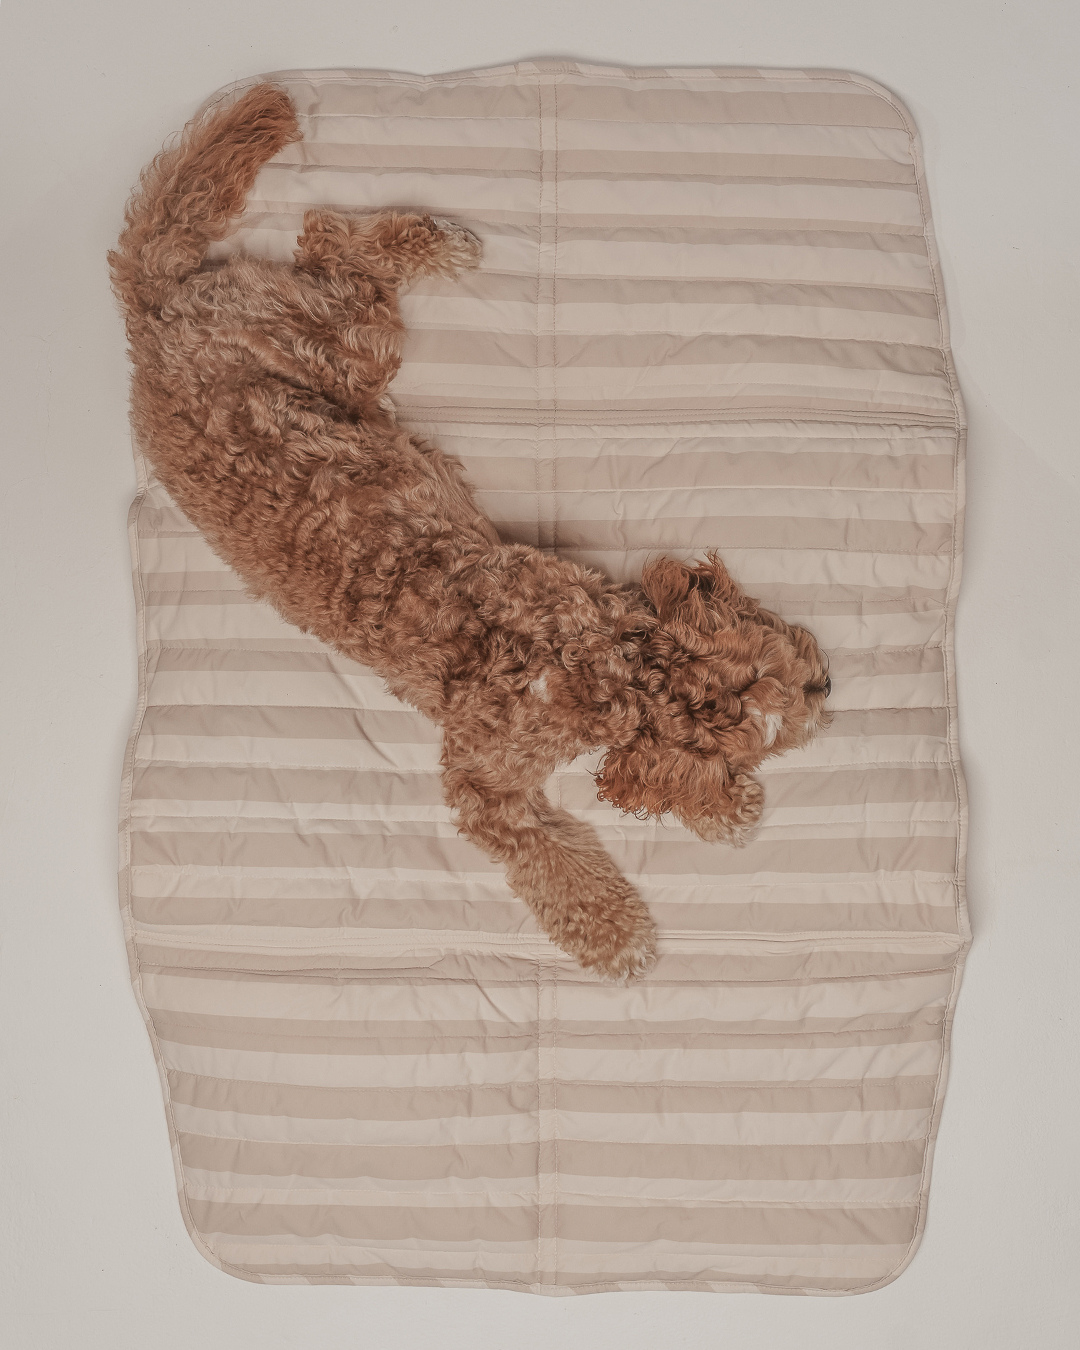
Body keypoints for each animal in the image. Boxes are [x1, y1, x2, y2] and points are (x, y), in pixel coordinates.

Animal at [109, 83, 832, 981]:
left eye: (774, 658)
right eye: (767, 724)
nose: (828, 685)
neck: (600, 667)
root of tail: (151, 313)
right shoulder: (482, 786)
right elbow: (546, 858)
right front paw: (622, 928)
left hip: (337, 352)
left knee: (320, 232)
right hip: (339, 344)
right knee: (328, 240)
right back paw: (440, 241)